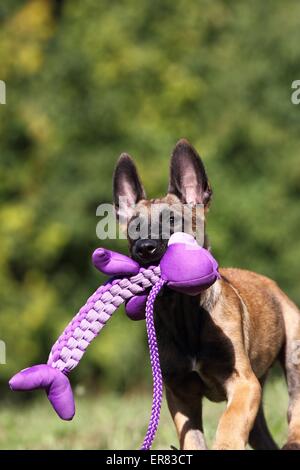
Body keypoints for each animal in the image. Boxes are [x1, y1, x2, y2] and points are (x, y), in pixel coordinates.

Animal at [112, 139, 300, 448]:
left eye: (173, 221)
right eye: (134, 228)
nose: (145, 249)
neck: (184, 313)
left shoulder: (243, 383)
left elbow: (230, 423)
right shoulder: (181, 394)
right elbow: (193, 439)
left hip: (294, 359)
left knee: (294, 409)